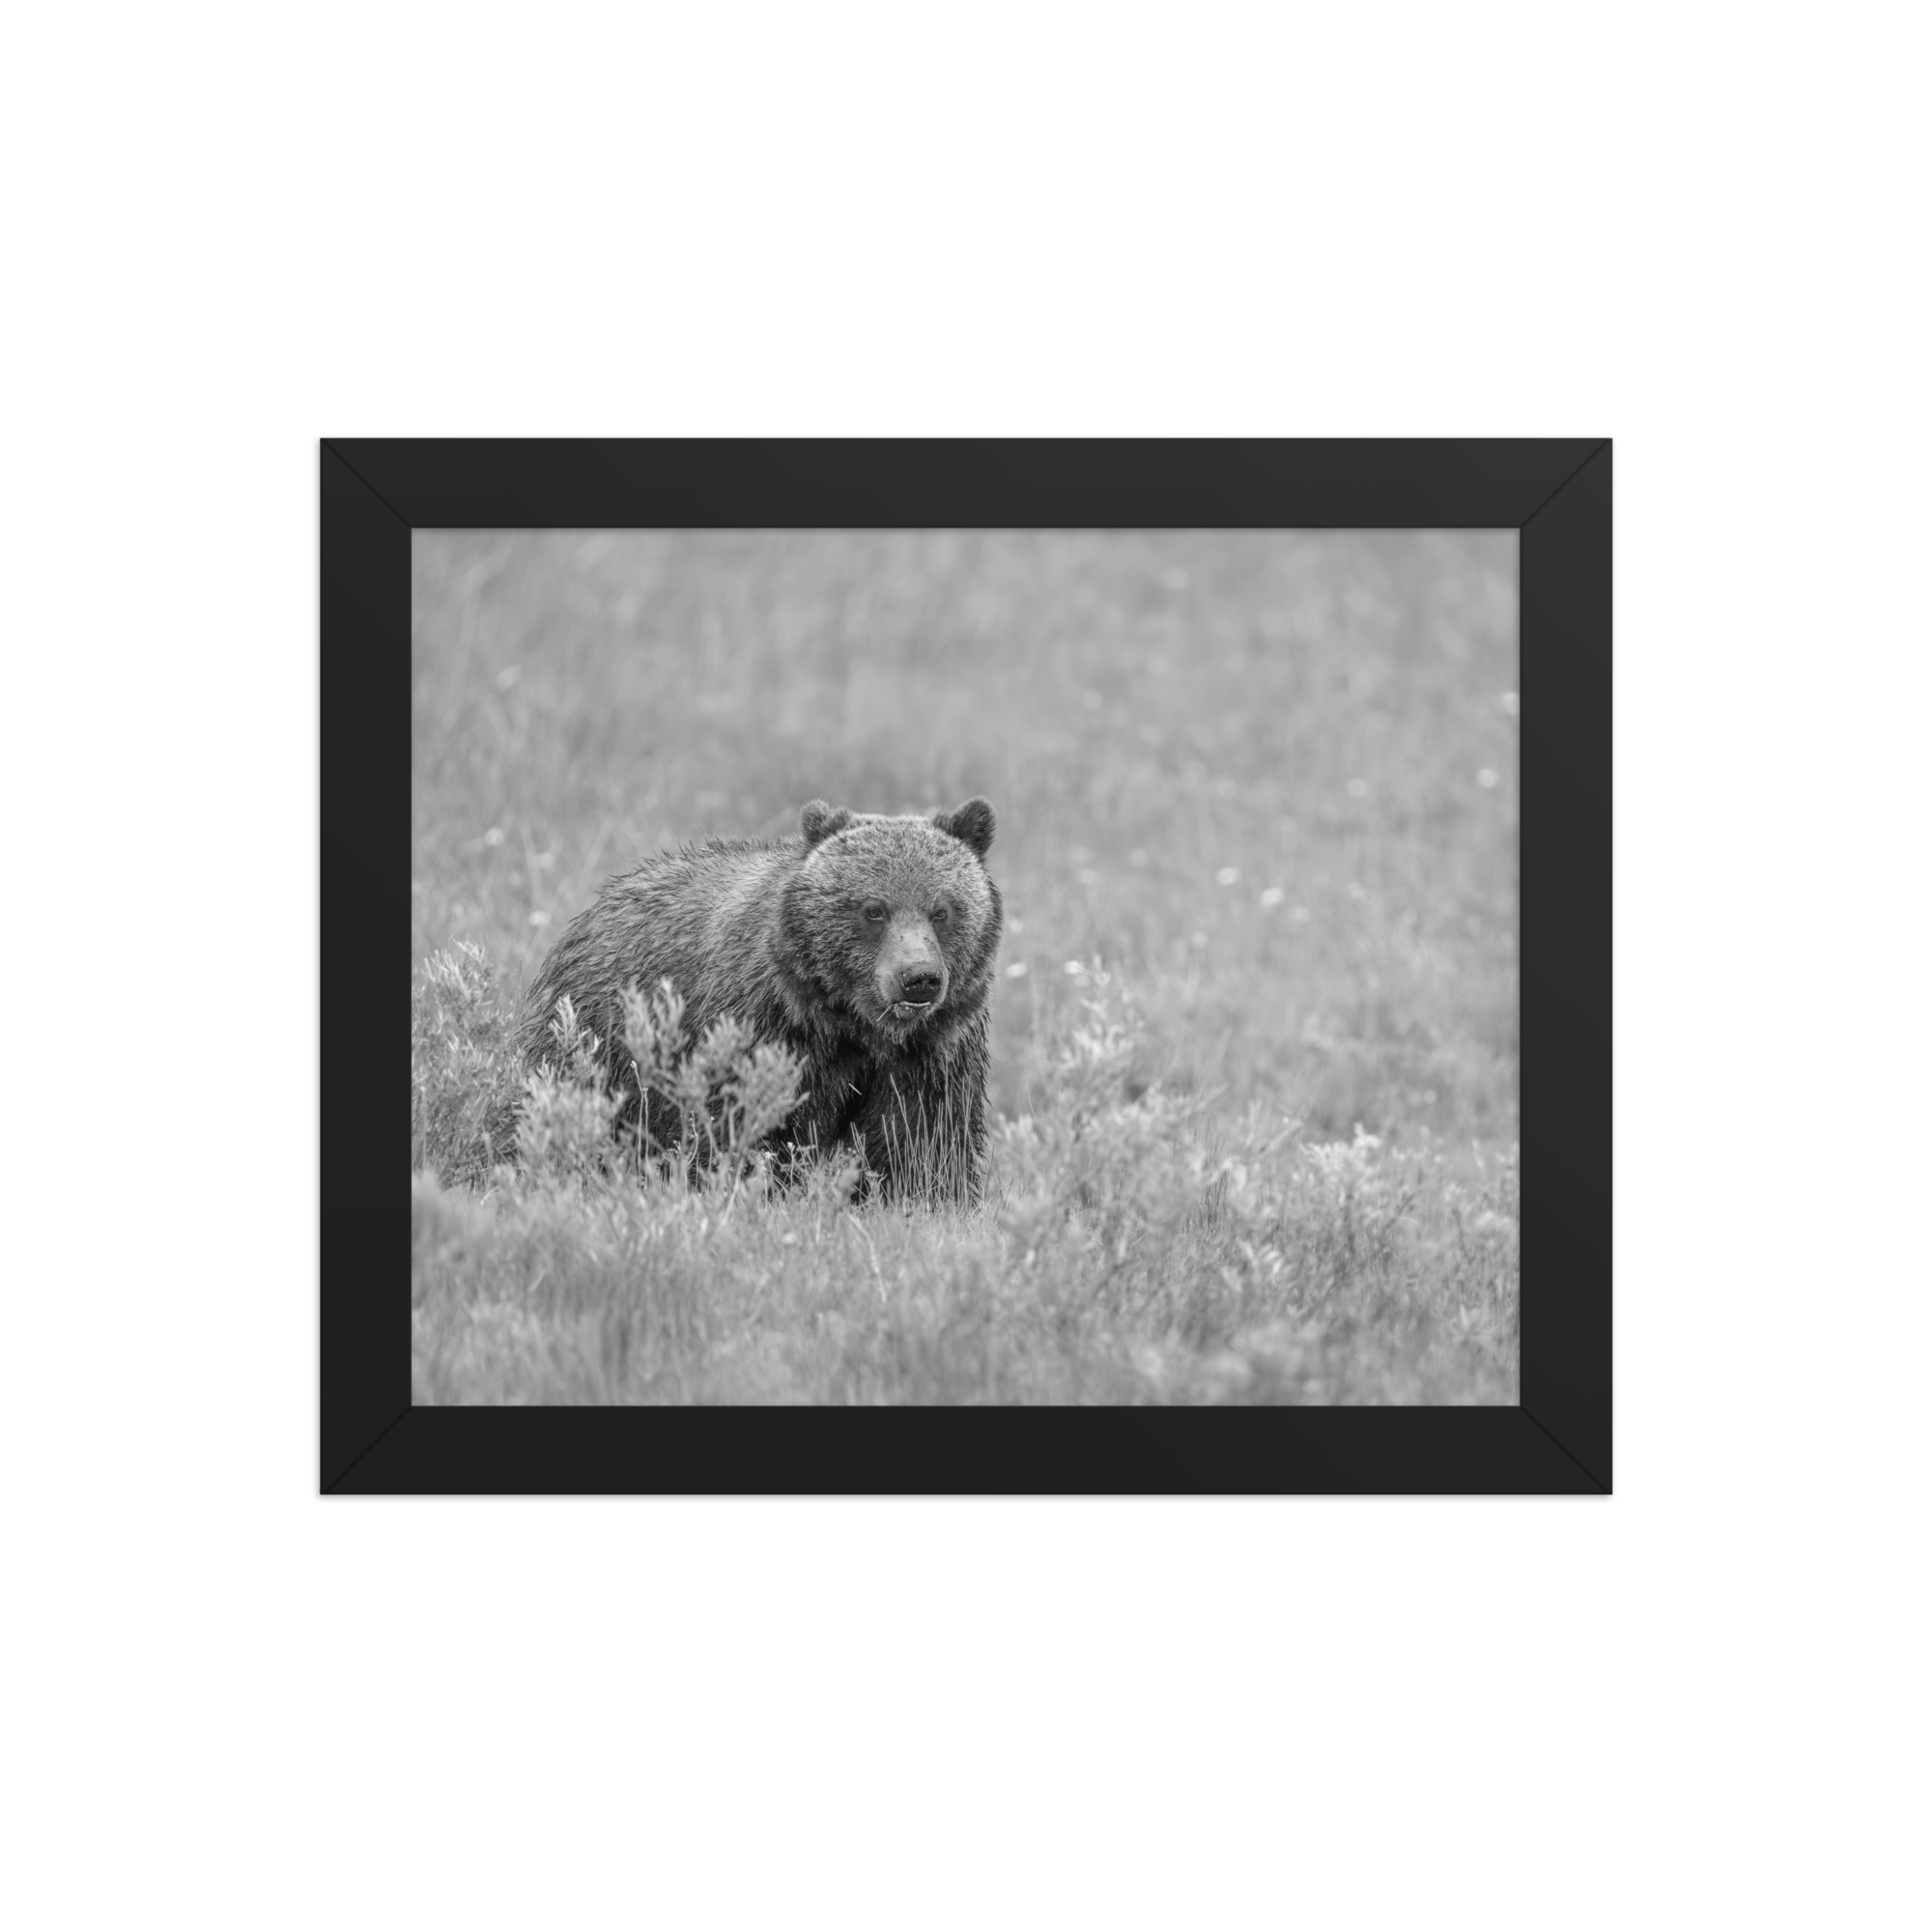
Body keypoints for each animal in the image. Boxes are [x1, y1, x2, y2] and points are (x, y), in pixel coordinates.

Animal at [513, 796, 1003, 1202]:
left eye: (941, 910)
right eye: (873, 909)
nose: (918, 978)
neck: (853, 1024)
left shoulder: (932, 1052)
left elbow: (923, 1141)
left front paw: (924, 1200)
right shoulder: (764, 1027)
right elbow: (748, 1126)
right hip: (598, 1038)